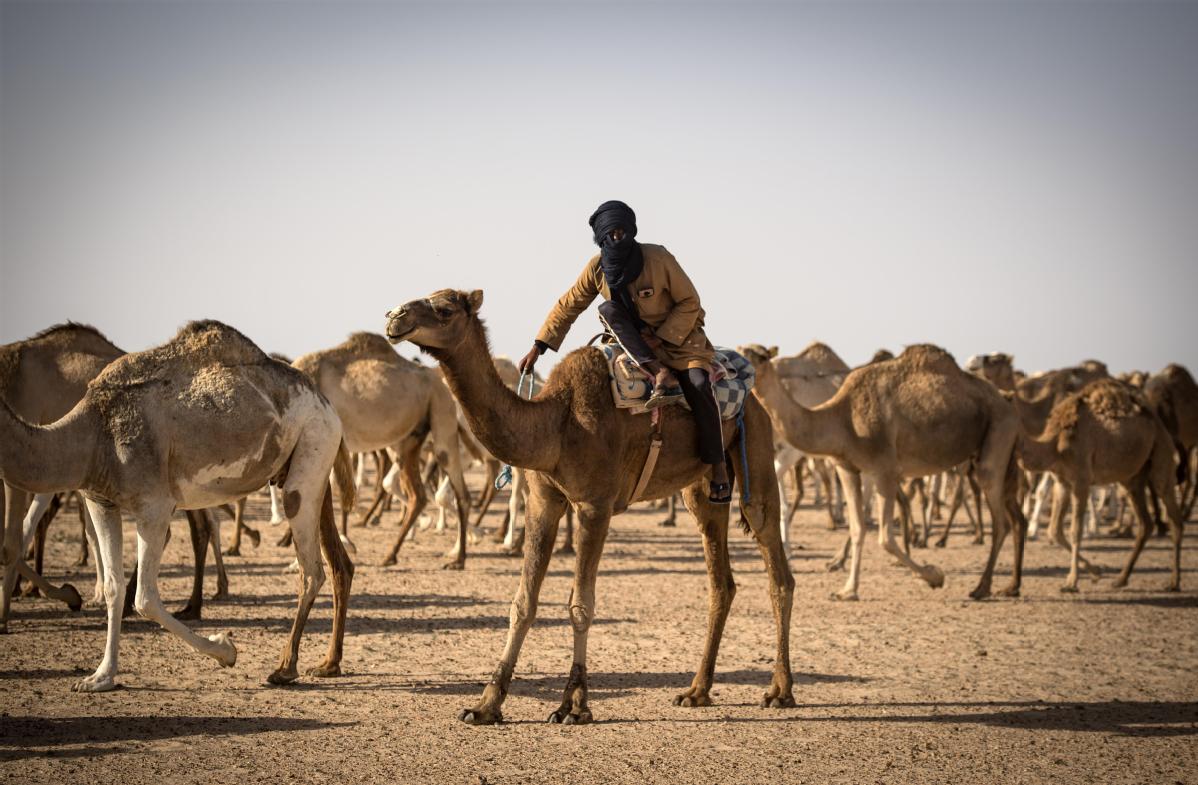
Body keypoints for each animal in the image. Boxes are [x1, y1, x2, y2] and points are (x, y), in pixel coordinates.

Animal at [0, 320, 354, 691]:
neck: (91, 432)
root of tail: (326, 404)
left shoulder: (153, 505)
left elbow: (145, 598)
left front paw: (225, 649)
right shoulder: (100, 500)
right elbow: (113, 587)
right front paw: (100, 677)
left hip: (311, 449)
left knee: (311, 569)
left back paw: (285, 668)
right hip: (310, 463)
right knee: (339, 563)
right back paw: (328, 664)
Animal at [293, 332, 471, 568]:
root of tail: (440, 381)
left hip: (442, 411)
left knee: (459, 491)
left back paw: (458, 558)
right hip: (408, 441)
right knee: (418, 495)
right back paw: (392, 554)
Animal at [384, 289, 794, 725]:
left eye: (444, 309)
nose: (395, 316)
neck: (555, 424)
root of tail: (753, 396)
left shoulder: (594, 505)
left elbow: (580, 605)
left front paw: (575, 704)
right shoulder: (544, 501)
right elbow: (522, 603)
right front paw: (486, 705)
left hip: (756, 450)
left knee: (775, 564)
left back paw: (779, 691)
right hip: (702, 489)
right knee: (720, 579)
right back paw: (696, 691)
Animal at [741, 344, 1029, 601]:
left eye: (762, 356)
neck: (840, 418)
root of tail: (1008, 401)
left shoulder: (884, 470)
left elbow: (885, 538)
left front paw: (934, 575)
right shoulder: (847, 467)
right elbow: (858, 528)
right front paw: (848, 590)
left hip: (997, 436)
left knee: (1001, 521)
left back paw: (981, 587)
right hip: (1002, 454)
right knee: (1017, 519)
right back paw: (1011, 586)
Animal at [1018, 378, 1185, 592]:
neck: (1055, 442)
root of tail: (1160, 426)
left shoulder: (1081, 480)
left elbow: (1075, 530)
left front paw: (1072, 581)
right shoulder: (1062, 482)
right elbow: (1055, 530)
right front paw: (1096, 572)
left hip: (1161, 455)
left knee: (1174, 517)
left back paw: (1174, 582)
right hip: (1132, 478)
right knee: (1145, 523)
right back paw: (1121, 579)